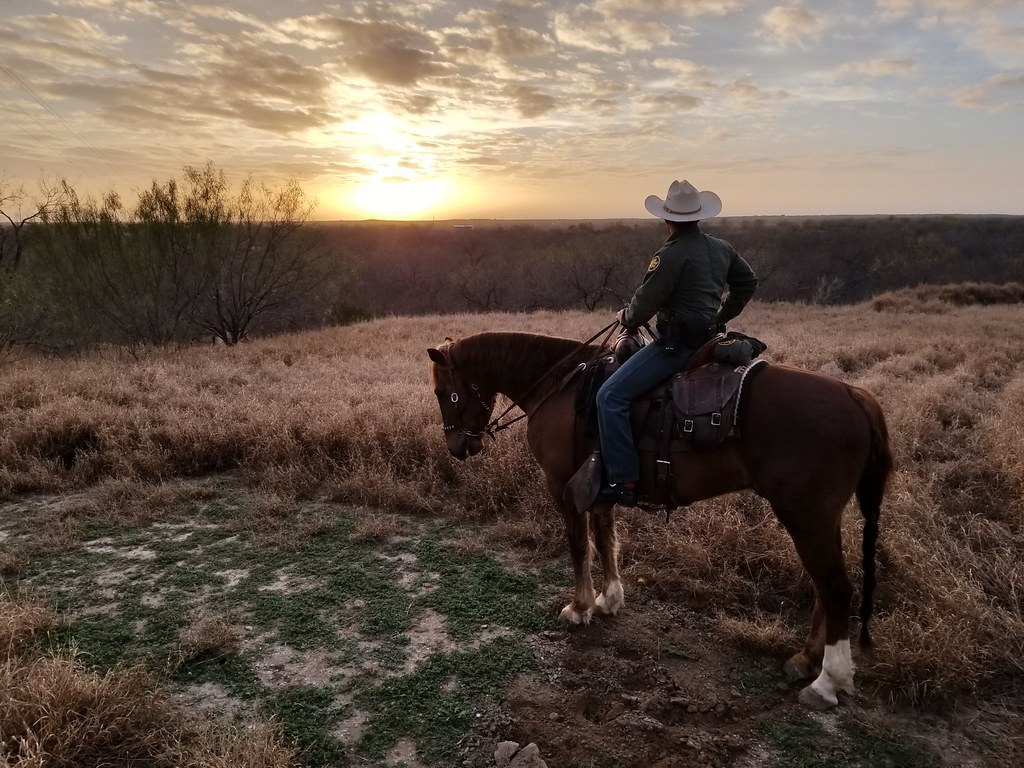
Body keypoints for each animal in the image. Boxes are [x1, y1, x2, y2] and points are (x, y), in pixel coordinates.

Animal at [427, 331, 893, 710]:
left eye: (444, 393)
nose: (457, 447)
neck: (561, 386)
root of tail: (856, 395)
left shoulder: (562, 487)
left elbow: (579, 547)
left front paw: (580, 607)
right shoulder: (601, 487)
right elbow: (605, 539)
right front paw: (609, 599)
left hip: (806, 516)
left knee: (835, 589)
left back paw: (826, 683)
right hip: (818, 520)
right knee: (823, 589)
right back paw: (806, 661)